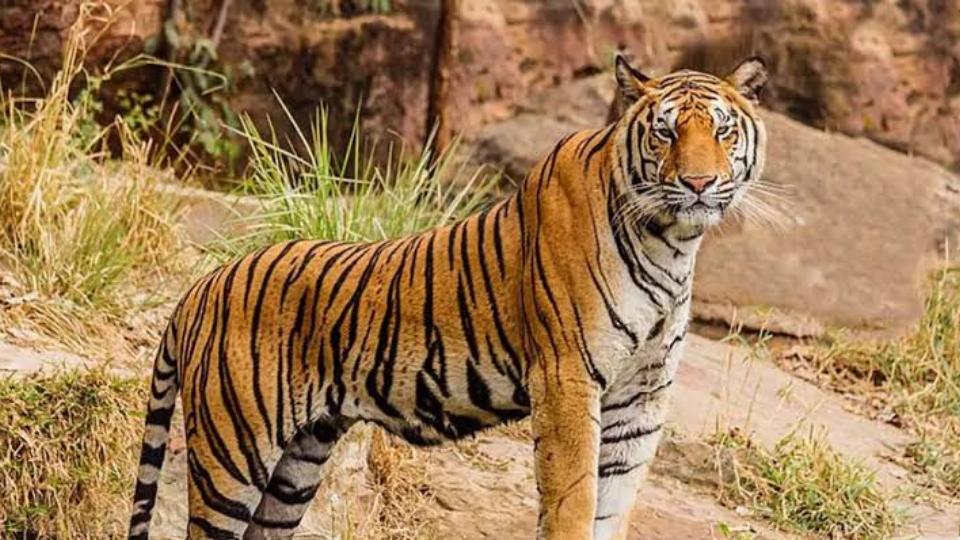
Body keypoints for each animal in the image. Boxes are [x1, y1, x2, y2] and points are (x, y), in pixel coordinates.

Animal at [128, 54, 768, 540]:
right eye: (666, 132)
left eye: (722, 130)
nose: (698, 183)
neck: (672, 242)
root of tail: (201, 286)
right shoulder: (566, 378)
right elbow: (574, 500)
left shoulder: (642, 397)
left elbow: (613, 505)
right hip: (233, 452)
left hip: (297, 465)